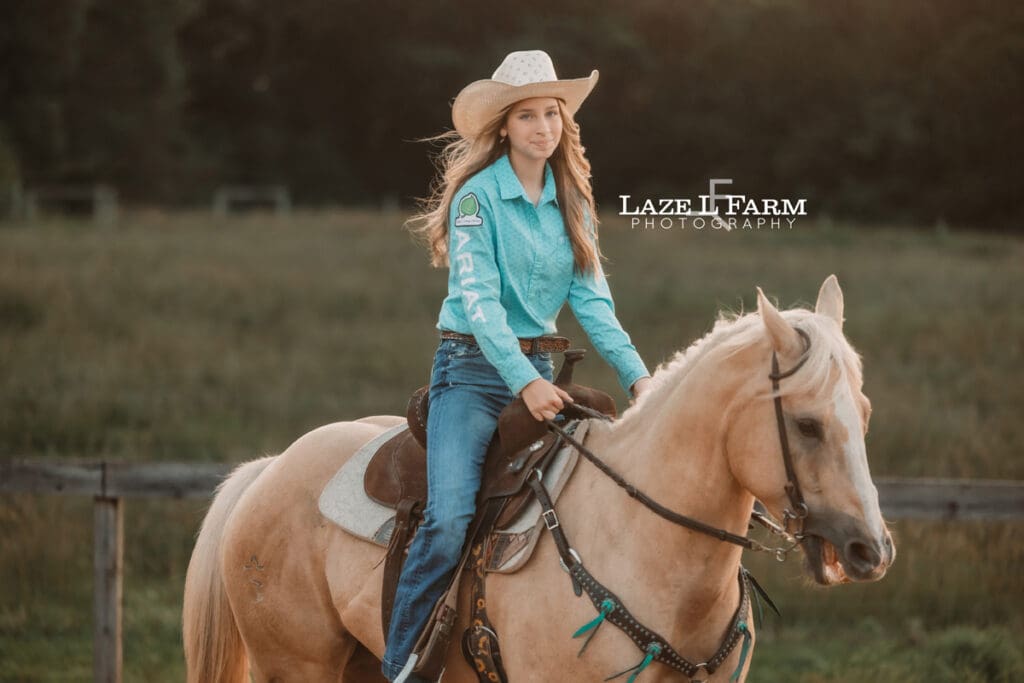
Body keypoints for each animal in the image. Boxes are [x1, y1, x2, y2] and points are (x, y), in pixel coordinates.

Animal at [183, 274, 894, 682]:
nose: (872, 550)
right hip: (294, 666)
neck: (640, 539)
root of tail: (269, 470)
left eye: (863, 414)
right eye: (806, 424)